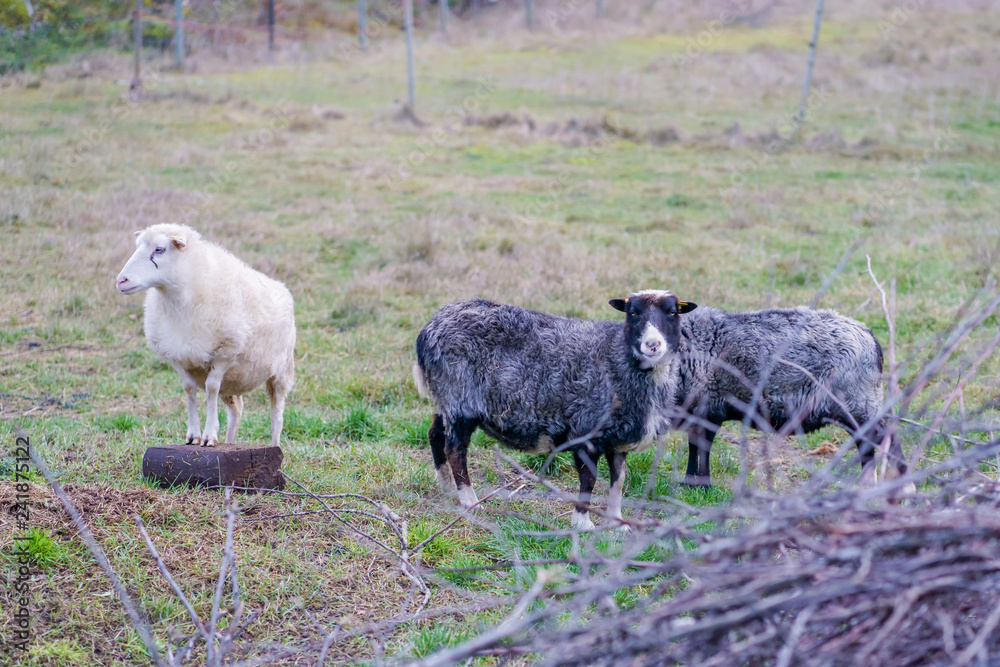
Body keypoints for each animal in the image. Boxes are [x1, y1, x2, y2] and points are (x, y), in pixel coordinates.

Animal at [116, 224, 296, 448]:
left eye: (159, 249)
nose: (121, 281)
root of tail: (283, 287)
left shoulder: (224, 353)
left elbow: (210, 389)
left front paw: (209, 435)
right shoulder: (178, 357)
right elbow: (189, 389)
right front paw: (193, 435)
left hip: (281, 371)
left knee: (277, 414)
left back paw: (275, 446)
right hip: (233, 380)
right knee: (236, 410)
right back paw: (229, 443)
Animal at [413, 291, 698, 529]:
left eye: (673, 312)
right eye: (633, 312)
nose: (653, 345)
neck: (617, 358)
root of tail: (429, 329)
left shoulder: (617, 440)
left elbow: (618, 481)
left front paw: (617, 523)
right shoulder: (585, 430)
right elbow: (589, 479)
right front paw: (582, 524)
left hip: (448, 400)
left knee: (434, 433)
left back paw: (447, 487)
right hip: (461, 399)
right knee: (455, 450)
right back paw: (469, 501)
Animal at [673, 304, 910, 489]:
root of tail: (869, 336)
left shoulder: (709, 408)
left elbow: (702, 447)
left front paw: (701, 485)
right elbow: (694, 446)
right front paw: (689, 484)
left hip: (859, 404)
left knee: (884, 439)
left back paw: (903, 487)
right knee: (868, 444)